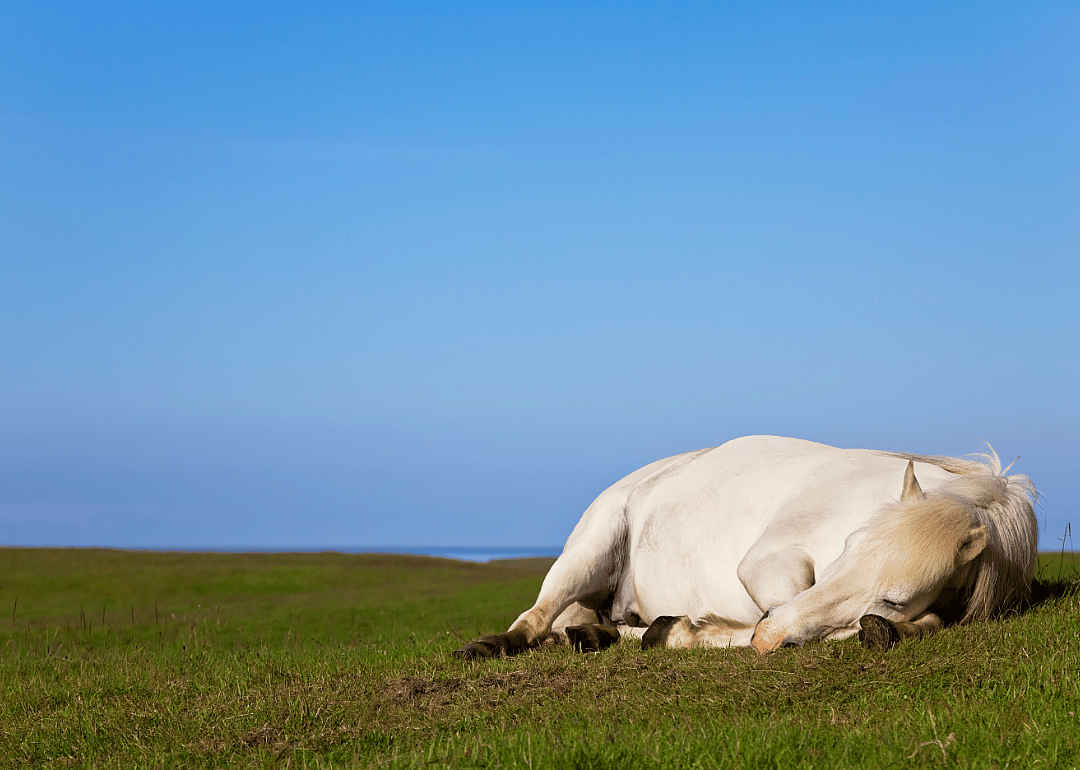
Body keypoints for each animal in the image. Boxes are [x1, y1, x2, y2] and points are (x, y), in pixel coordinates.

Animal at [454, 435, 1037, 658]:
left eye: (895, 596)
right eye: (850, 543)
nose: (767, 640)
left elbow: (903, 624)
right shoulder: (766, 565)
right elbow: (782, 612)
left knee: (582, 626)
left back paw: (603, 634)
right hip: (589, 551)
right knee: (535, 619)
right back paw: (495, 644)